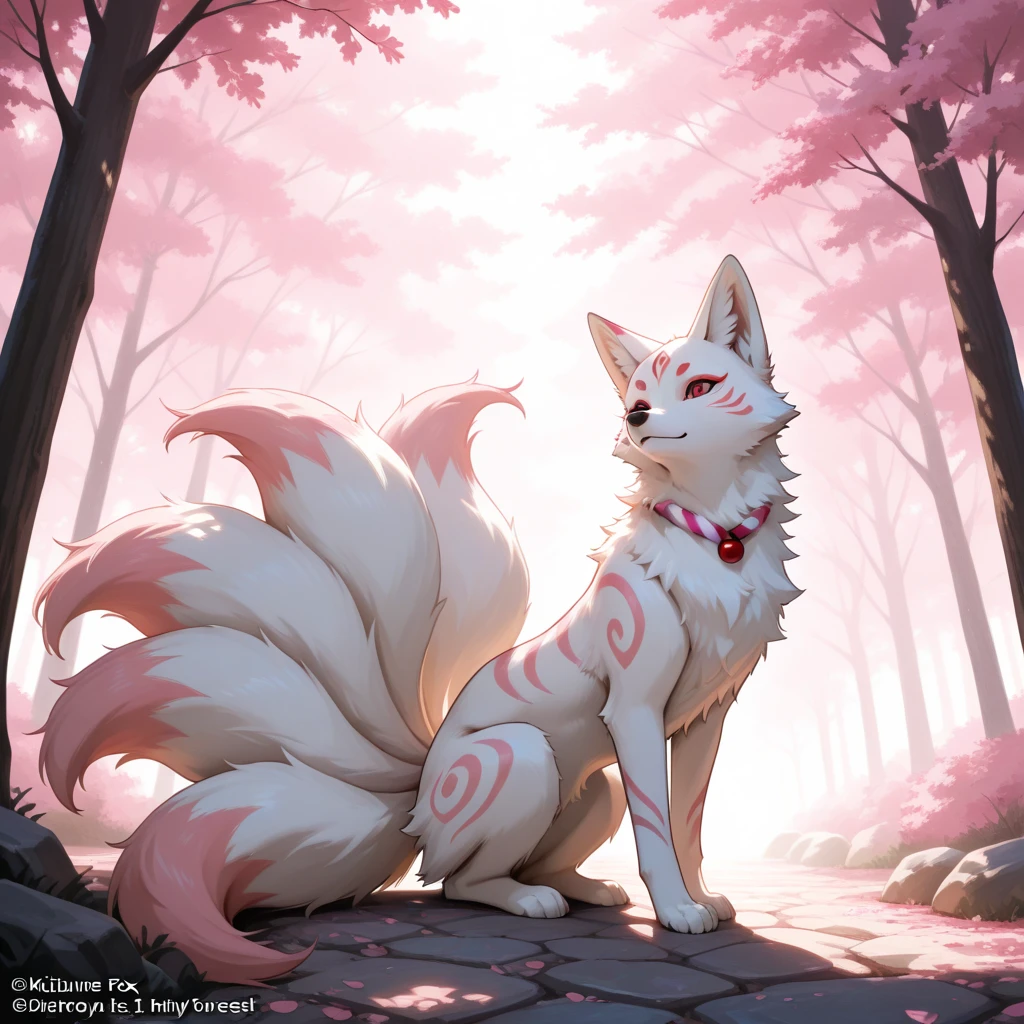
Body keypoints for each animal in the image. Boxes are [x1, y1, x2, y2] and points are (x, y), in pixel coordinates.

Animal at [33, 255, 799, 985]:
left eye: (699, 388)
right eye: (638, 401)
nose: (637, 422)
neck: (712, 535)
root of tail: (418, 804)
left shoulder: (705, 718)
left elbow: (689, 821)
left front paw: (704, 898)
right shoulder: (636, 708)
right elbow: (657, 827)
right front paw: (674, 910)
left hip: (594, 785)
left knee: (525, 863)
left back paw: (581, 886)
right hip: (519, 755)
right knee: (463, 882)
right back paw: (526, 898)